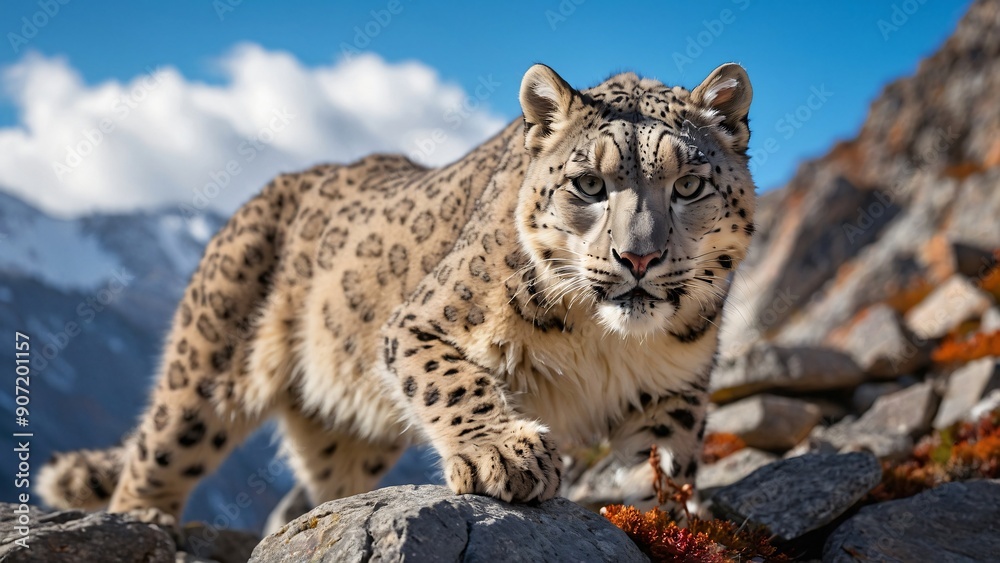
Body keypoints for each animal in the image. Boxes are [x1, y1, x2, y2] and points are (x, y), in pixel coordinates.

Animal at [37, 62, 755, 528]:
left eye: (688, 185)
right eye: (588, 184)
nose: (638, 256)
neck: (609, 342)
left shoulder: (678, 387)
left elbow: (664, 456)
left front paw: (653, 505)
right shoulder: (422, 321)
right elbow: (456, 382)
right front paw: (503, 454)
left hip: (345, 431)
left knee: (320, 489)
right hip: (204, 369)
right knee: (154, 459)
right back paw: (144, 521)